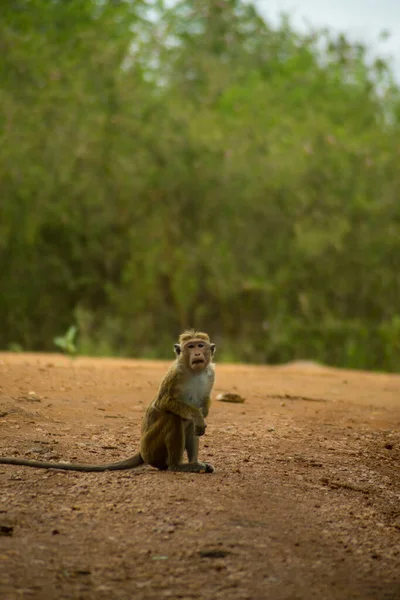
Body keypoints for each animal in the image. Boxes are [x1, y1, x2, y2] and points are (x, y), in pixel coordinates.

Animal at [0, 328, 216, 474]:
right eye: (190, 346)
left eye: (200, 345)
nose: (197, 353)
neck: (193, 372)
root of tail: (141, 450)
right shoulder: (175, 373)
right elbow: (164, 402)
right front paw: (197, 415)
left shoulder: (211, 373)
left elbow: (202, 406)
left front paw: (201, 414)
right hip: (152, 448)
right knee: (173, 417)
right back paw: (176, 465)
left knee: (186, 423)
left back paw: (194, 463)